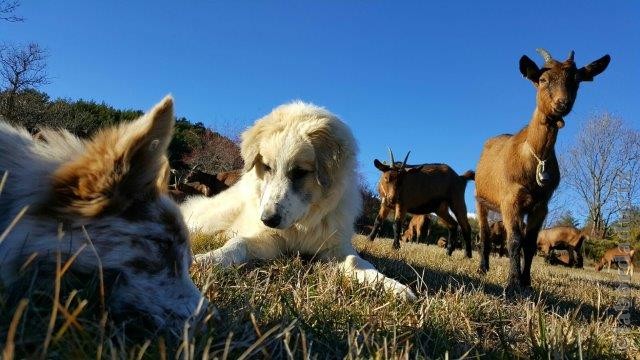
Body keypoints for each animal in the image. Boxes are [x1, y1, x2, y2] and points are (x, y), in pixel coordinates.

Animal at [182, 102, 418, 300]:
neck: (301, 224)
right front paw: (205, 259)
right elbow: (237, 244)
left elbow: (357, 262)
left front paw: (394, 286)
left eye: (299, 172)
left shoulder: (336, 247)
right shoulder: (267, 240)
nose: (268, 219)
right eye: (267, 167)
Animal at [476, 48, 608, 290]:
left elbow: (529, 243)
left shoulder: (541, 205)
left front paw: (526, 282)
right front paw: (512, 283)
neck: (533, 158)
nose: (562, 103)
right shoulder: (510, 200)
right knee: (485, 235)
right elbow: (514, 240)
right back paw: (483, 268)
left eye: (576, 81)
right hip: (480, 199)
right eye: (543, 79)